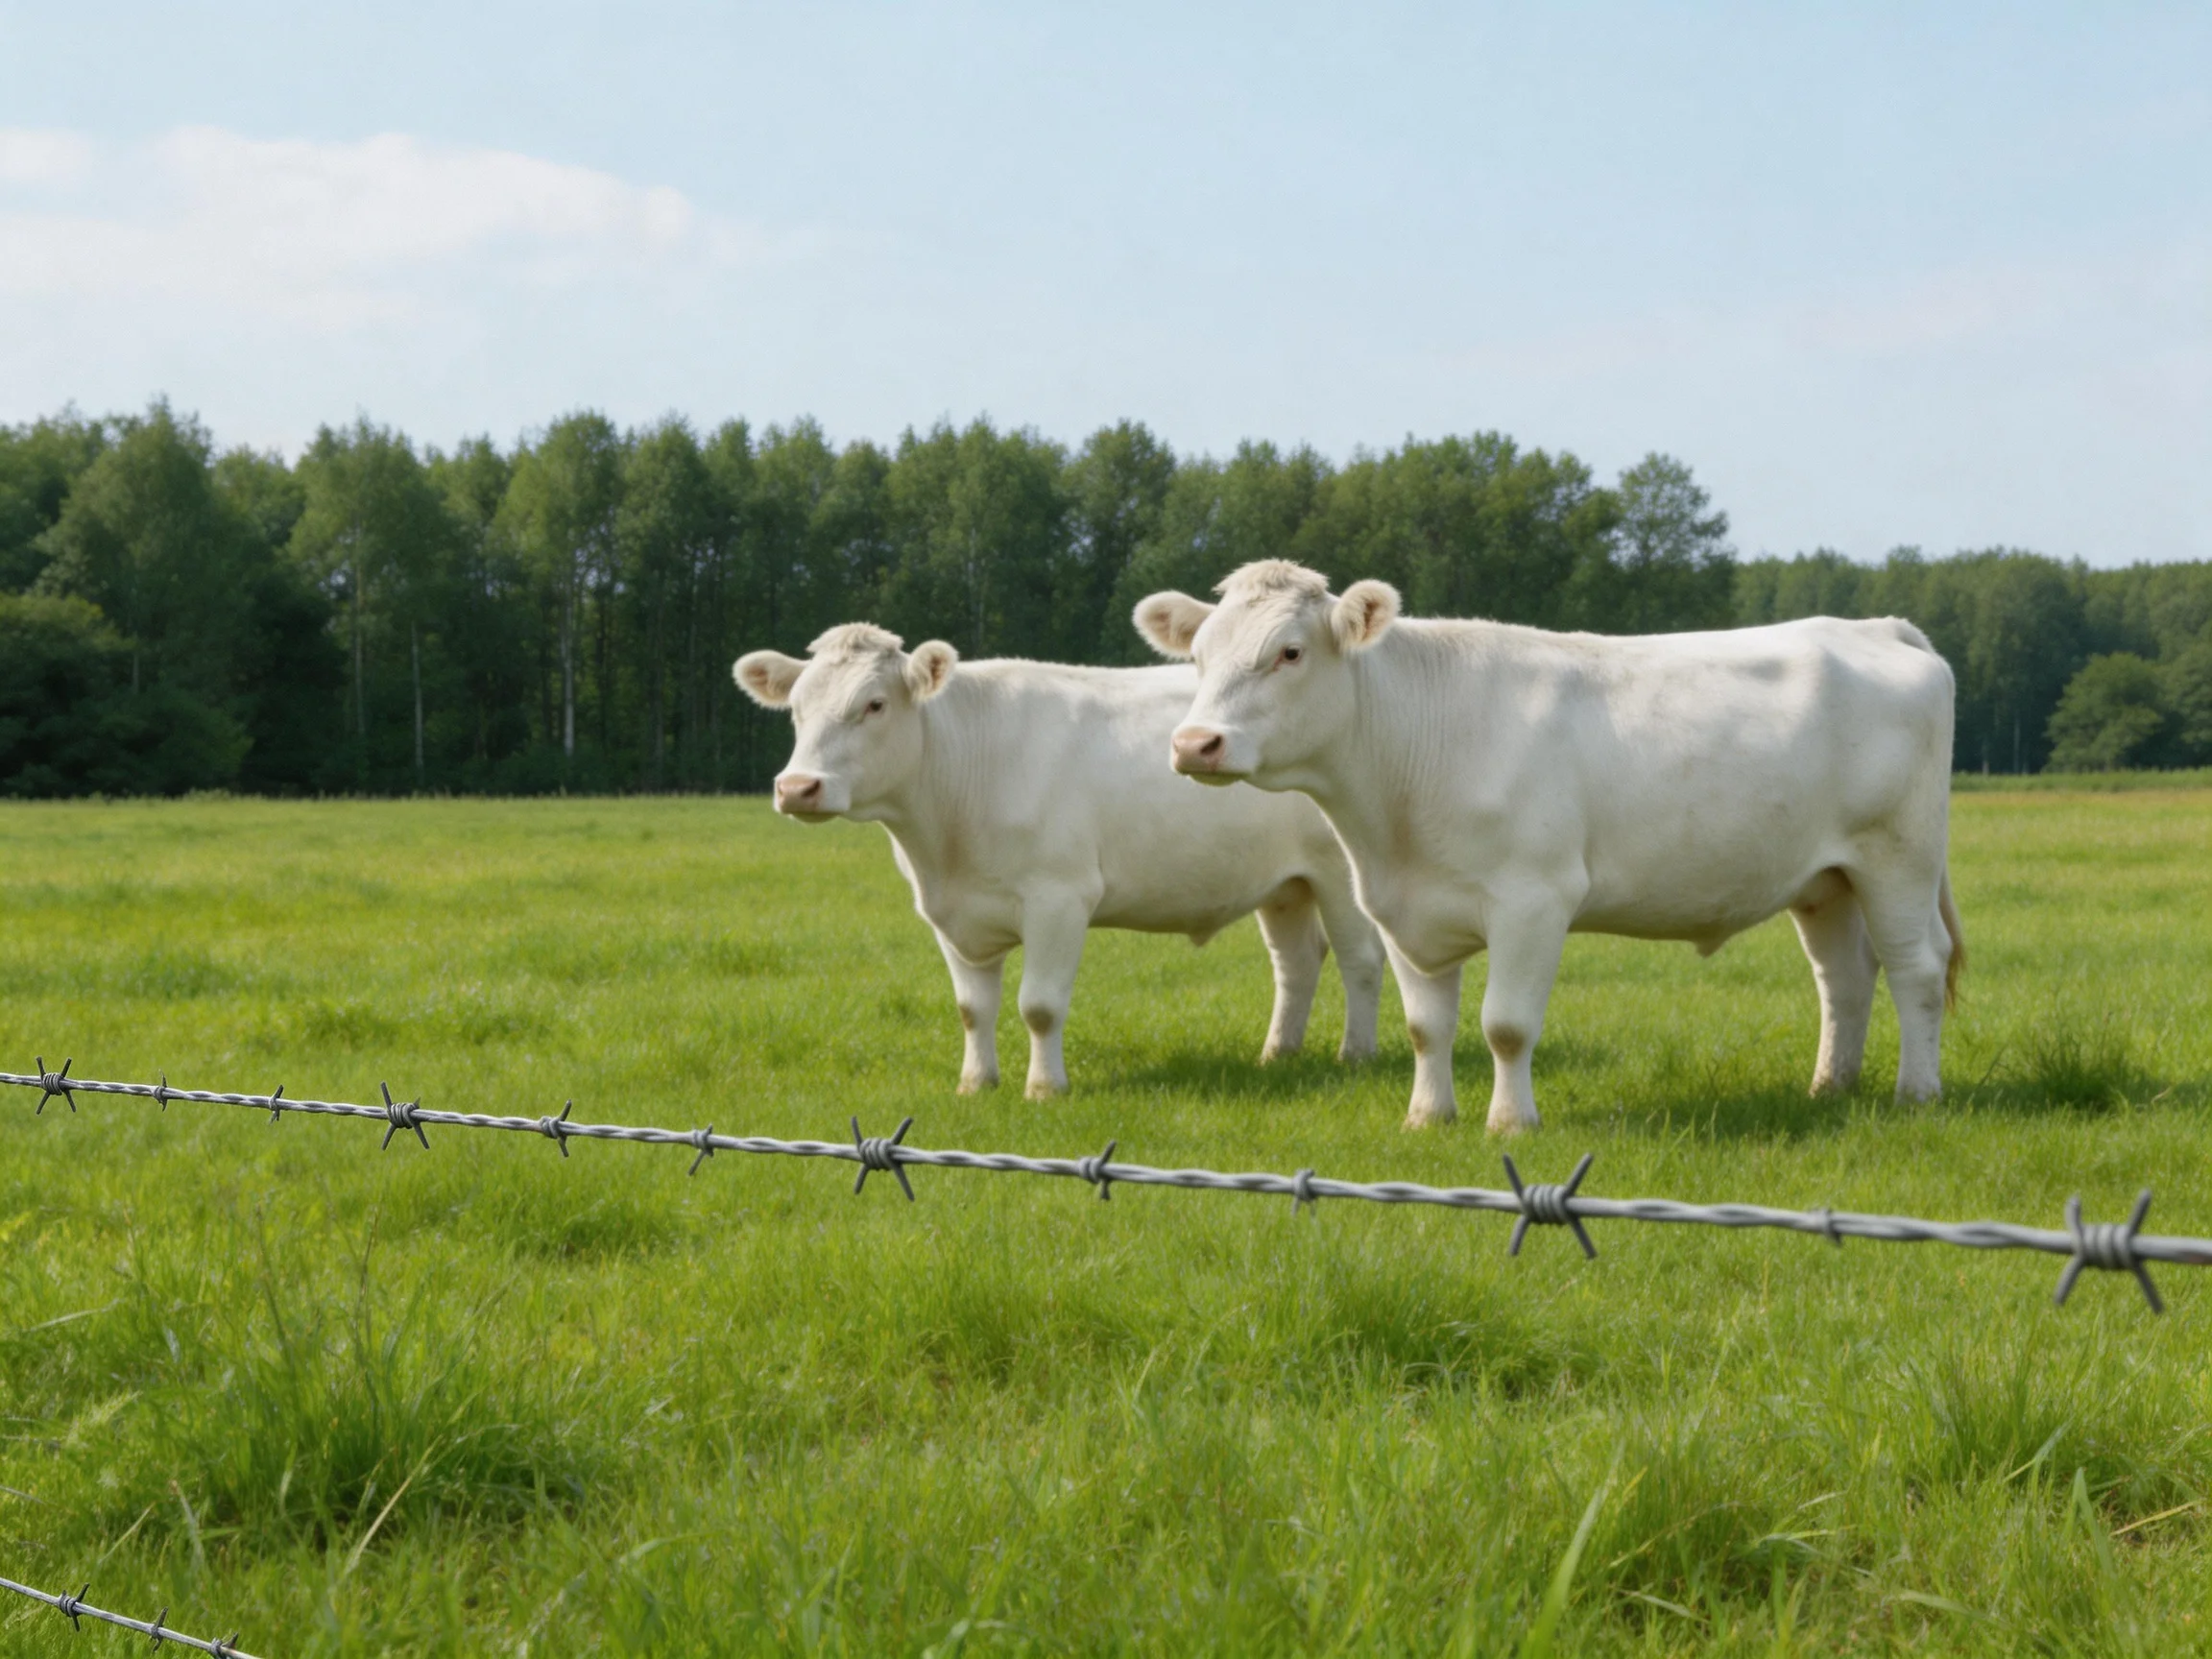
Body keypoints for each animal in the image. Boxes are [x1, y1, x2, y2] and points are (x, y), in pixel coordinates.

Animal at [734, 623, 1388, 1099]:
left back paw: (1354, 1056)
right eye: (795, 708)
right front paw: (976, 1084)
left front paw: (1045, 1088)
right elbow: (972, 1009)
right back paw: (1278, 1054)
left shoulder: (1059, 899)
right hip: (1285, 883)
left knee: (1360, 959)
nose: (797, 787)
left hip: (1339, 872)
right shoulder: (949, 912)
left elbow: (1040, 1007)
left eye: (873, 705)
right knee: (1296, 963)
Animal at [1134, 561, 1964, 1133]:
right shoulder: (1400, 908)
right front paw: (1427, 1117)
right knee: (1844, 977)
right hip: (1824, 878)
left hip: (1898, 857)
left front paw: (1510, 1123)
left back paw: (1917, 1093)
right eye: (1199, 657)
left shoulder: (1533, 900)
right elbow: (1426, 1026)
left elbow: (1505, 1024)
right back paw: (1830, 1088)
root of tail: (1875, 626)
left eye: (1290, 653)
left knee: (1916, 969)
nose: (1195, 743)